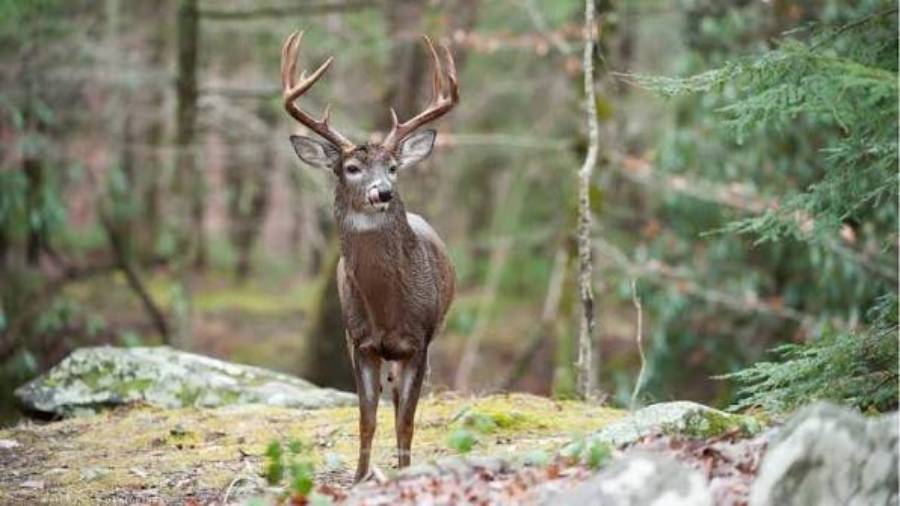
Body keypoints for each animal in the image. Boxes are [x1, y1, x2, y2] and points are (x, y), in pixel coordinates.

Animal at [280, 31, 459, 482]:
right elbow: (367, 417)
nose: (384, 192)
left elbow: (406, 420)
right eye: (351, 168)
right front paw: (360, 477)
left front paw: (402, 473)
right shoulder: (358, 341)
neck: (387, 310)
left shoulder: (419, 341)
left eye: (393, 166)